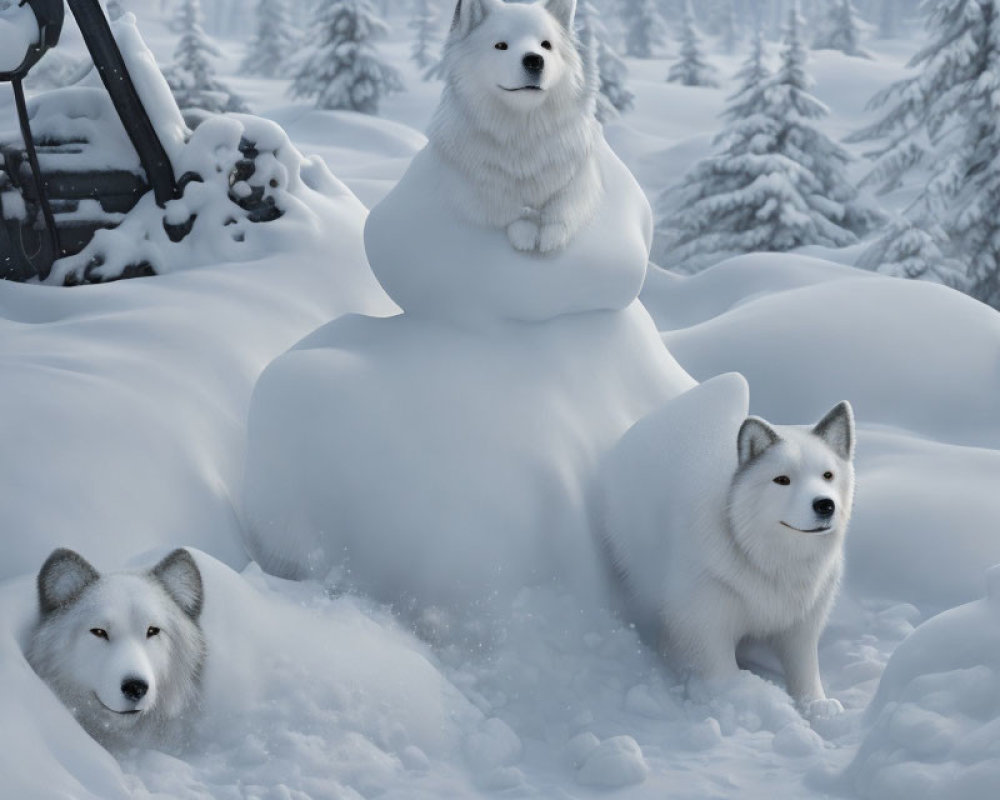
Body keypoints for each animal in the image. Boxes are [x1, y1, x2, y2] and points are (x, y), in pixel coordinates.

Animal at [430, 0, 600, 252]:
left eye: (546, 45)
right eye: (501, 45)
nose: (534, 60)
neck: (522, 132)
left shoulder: (579, 171)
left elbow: (565, 204)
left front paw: (551, 236)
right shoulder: (471, 182)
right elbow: (505, 205)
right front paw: (525, 232)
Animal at [596, 376, 856, 720]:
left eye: (828, 475)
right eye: (782, 480)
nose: (825, 505)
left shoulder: (801, 623)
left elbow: (805, 669)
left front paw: (816, 705)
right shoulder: (706, 620)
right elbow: (721, 671)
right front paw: (749, 698)